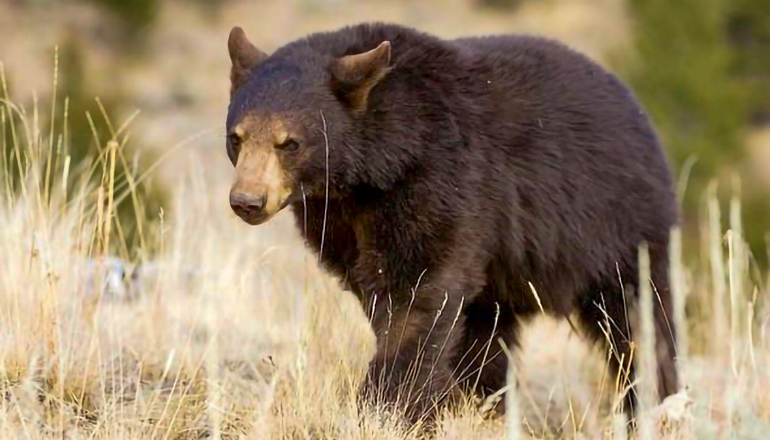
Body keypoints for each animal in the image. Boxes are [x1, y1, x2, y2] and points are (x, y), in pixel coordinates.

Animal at [224, 23, 680, 422]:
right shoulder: (337, 220)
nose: (247, 201)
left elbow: (416, 294)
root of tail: (637, 109)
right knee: (486, 330)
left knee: (638, 319)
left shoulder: (441, 180)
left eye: (289, 142)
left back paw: (654, 401)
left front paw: (388, 405)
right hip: (507, 276)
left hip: (618, 228)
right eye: (236, 137)